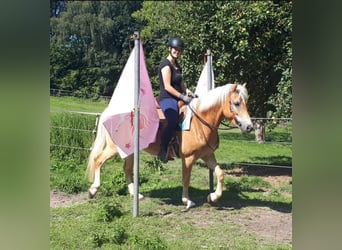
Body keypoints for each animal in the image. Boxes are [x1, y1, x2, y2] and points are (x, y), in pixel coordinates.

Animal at [87, 83, 252, 211]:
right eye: (236, 103)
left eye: (246, 102)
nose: (249, 126)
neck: (199, 121)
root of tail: (110, 111)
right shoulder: (188, 157)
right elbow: (186, 179)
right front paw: (187, 201)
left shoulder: (207, 155)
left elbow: (220, 173)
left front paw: (213, 197)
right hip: (114, 148)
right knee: (98, 160)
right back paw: (93, 190)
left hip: (129, 150)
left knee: (126, 169)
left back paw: (136, 195)